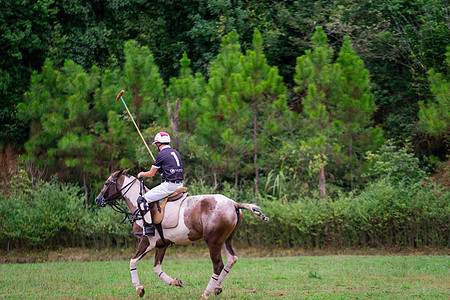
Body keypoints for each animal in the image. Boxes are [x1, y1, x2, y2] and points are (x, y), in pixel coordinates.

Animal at [94, 169, 268, 298]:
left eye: (107, 183)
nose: (97, 200)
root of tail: (234, 204)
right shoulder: (162, 244)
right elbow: (157, 268)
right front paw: (176, 282)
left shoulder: (146, 242)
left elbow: (132, 262)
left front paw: (140, 289)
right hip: (226, 239)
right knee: (232, 259)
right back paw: (217, 288)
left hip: (213, 241)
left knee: (218, 265)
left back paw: (206, 293)